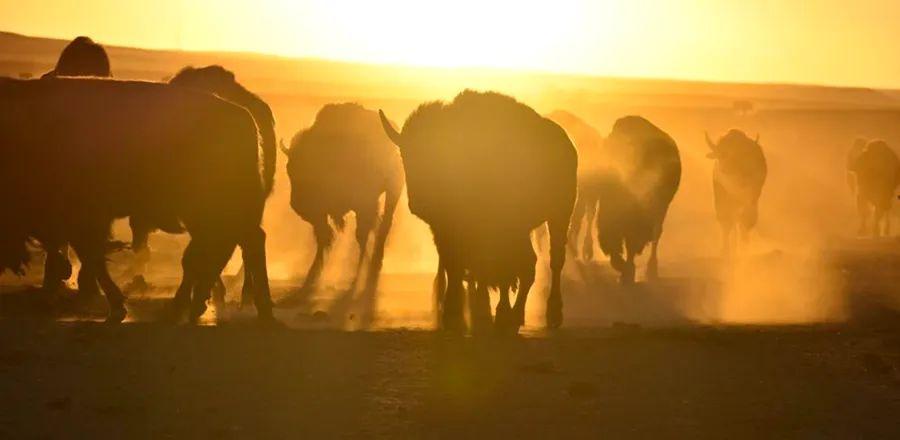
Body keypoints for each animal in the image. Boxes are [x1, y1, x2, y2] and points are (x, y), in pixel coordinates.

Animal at [0, 77, 274, 322]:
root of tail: (245, 117)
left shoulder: (83, 220)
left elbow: (91, 257)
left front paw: (116, 305)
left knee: (228, 248)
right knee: (234, 246)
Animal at [284, 103, 404, 295]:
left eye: (309, 167)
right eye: (289, 168)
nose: (297, 205)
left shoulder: (364, 204)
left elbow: (360, 234)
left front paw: (358, 274)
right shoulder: (321, 214)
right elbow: (324, 237)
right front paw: (313, 273)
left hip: (393, 190)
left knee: (384, 223)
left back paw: (375, 261)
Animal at [379, 91, 577, 333]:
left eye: (439, 156)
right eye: (405, 156)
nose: (419, 203)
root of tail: (567, 145)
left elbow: (499, 270)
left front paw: (494, 313)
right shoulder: (445, 230)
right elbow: (454, 265)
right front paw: (454, 313)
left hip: (559, 216)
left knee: (551, 261)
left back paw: (545, 314)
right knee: (526, 265)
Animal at [596, 116, 681, 284]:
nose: (610, 248)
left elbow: (633, 242)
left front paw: (627, 272)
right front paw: (625, 270)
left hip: (662, 209)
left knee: (656, 236)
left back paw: (651, 270)